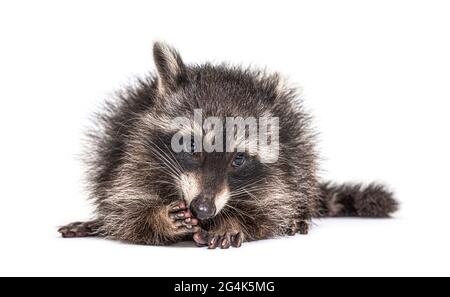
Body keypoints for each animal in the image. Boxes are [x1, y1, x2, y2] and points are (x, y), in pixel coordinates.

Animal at [59, 42, 398, 247]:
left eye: (238, 160)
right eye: (190, 146)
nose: (203, 209)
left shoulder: (277, 176)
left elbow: (268, 212)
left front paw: (230, 221)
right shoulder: (135, 154)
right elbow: (126, 213)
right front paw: (159, 218)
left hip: (298, 144)